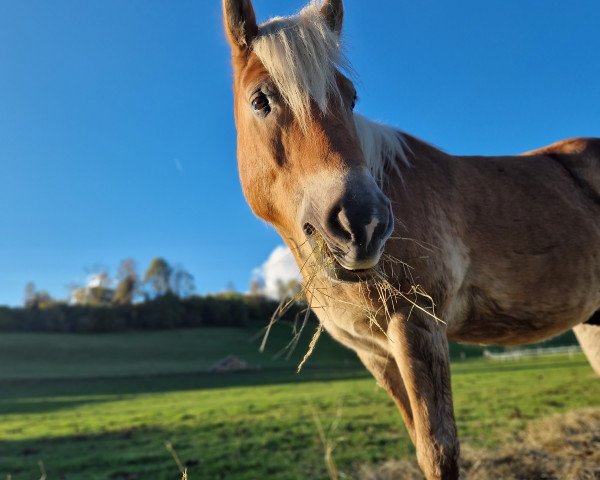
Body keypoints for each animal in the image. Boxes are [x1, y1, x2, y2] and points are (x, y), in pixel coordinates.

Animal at [221, 1, 600, 478]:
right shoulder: (375, 353)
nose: (361, 222)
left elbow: (438, 451)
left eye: (350, 97)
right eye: (260, 101)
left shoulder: (418, 325)